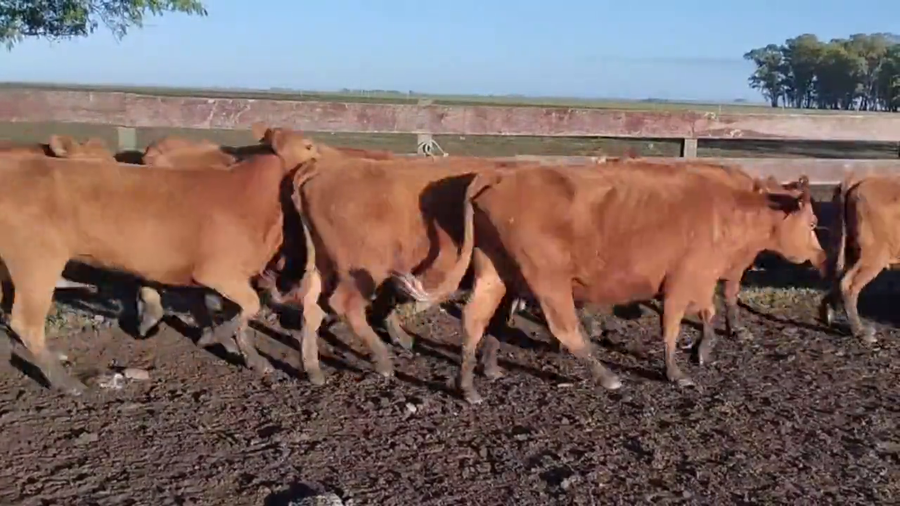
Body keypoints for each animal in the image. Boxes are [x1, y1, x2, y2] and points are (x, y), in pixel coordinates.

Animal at [0, 130, 319, 395]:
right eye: (308, 145)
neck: (250, 197)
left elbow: (241, 317)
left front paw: (252, 358)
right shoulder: (217, 272)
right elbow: (249, 306)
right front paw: (212, 337)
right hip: (37, 264)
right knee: (25, 323)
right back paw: (67, 383)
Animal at [393, 166, 825, 404]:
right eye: (813, 224)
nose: (822, 259)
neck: (725, 212)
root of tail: (500, 175)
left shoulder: (701, 279)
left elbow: (707, 312)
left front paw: (703, 349)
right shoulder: (681, 280)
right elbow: (672, 327)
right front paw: (676, 371)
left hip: (494, 270)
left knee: (474, 319)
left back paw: (468, 384)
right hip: (547, 278)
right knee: (566, 329)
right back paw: (606, 376)